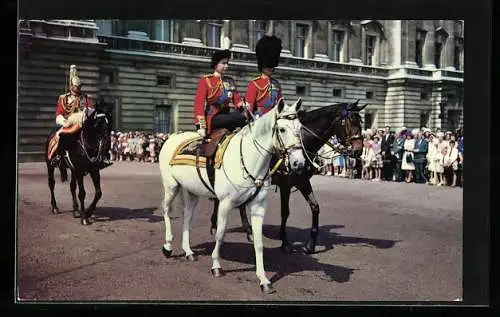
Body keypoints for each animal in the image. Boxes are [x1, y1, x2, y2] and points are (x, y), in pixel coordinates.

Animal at [158, 97, 306, 292]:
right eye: (281, 129)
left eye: (300, 128)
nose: (299, 163)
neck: (249, 159)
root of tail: (174, 136)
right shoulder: (225, 203)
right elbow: (220, 233)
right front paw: (216, 265)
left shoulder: (259, 206)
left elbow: (258, 242)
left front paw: (263, 279)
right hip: (171, 186)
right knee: (166, 210)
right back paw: (167, 246)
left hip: (191, 192)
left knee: (187, 217)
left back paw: (188, 251)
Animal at [209, 100, 366, 253]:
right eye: (352, 121)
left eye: (361, 122)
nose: (358, 151)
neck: (303, 143)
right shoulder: (285, 184)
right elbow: (285, 212)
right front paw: (285, 242)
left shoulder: (302, 181)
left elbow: (315, 207)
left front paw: (310, 245)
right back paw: (228, 228)